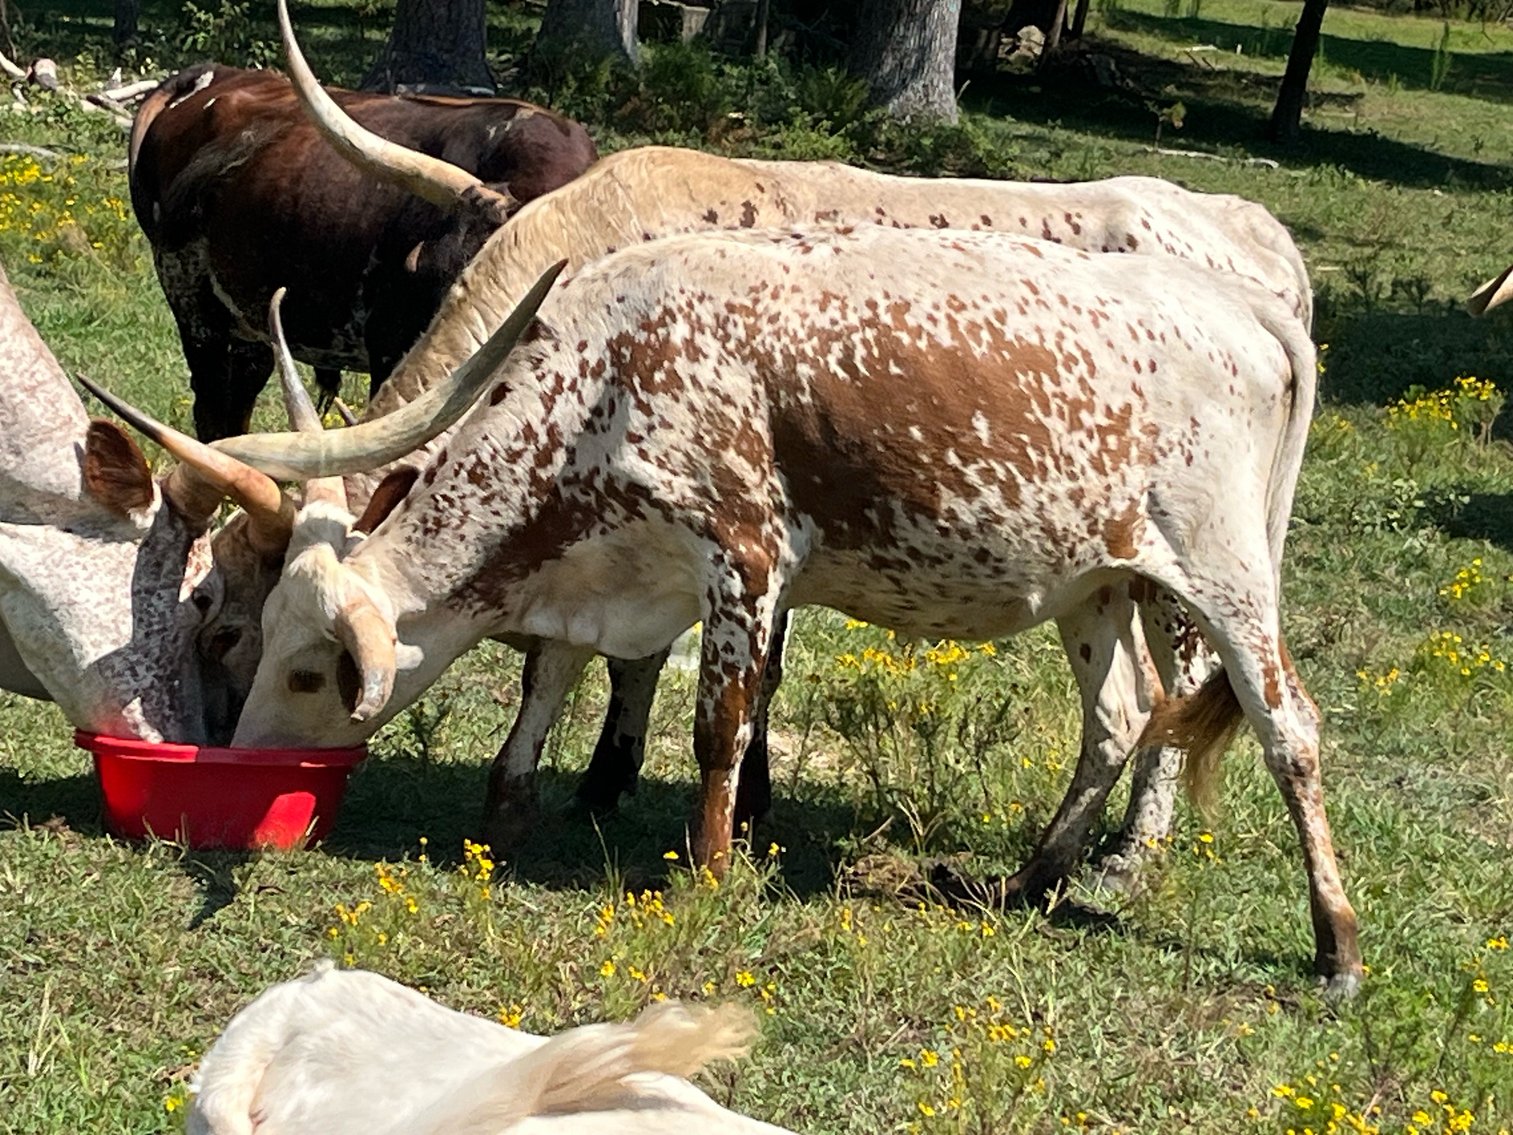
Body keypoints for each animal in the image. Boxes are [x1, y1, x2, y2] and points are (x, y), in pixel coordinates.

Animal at [102, 224, 1359, 993]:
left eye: (303, 667)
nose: (249, 765)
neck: (603, 378)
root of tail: (1251, 308)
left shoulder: (744, 561)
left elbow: (720, 726)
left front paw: (707, 870)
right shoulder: (604, 575)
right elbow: (548, 680)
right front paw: (510, 803)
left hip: (1222, 570)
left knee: (1285, 726)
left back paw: (1334, 945)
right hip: (1094, 581)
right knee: (1118, 717)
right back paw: (1031, 881)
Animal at [127, 44, 596, 442]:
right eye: (449, 292)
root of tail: (216, 72)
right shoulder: (391, 349)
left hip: (247, 319)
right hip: (191, 302)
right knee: (211, 412)